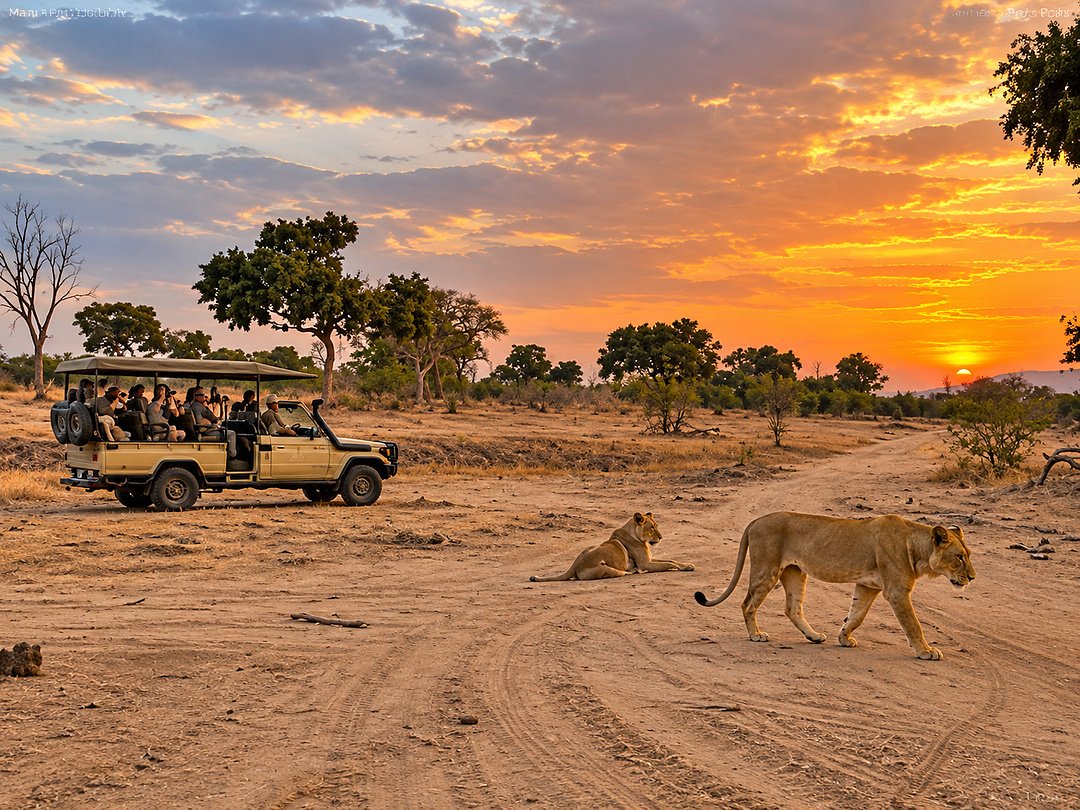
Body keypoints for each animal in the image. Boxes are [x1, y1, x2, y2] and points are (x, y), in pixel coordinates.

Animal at [529, 512, 695, 582]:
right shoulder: (645, 563)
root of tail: (574, 565)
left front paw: (688, 565)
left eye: (657, 526)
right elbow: (668, 564)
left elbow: (671, 560)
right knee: (622, 572)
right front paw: (685, 567)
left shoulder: (650, 559)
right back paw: (634, 571)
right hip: (607, 569)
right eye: (652, 528)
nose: (661, 537)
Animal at [693, 512, 975, 660]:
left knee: (792, 608)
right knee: (747, 603)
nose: (972, 577)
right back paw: (756, 635)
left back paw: (814, 636)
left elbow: (856, 616)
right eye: (959, 557)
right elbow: (913, 624)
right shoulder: (896, 592)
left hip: (795, 573)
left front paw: (844, 638)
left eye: (969, 554)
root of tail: (756, 520)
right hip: (766, 570)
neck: (917, 548)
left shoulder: (868, 586)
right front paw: (926, 651)